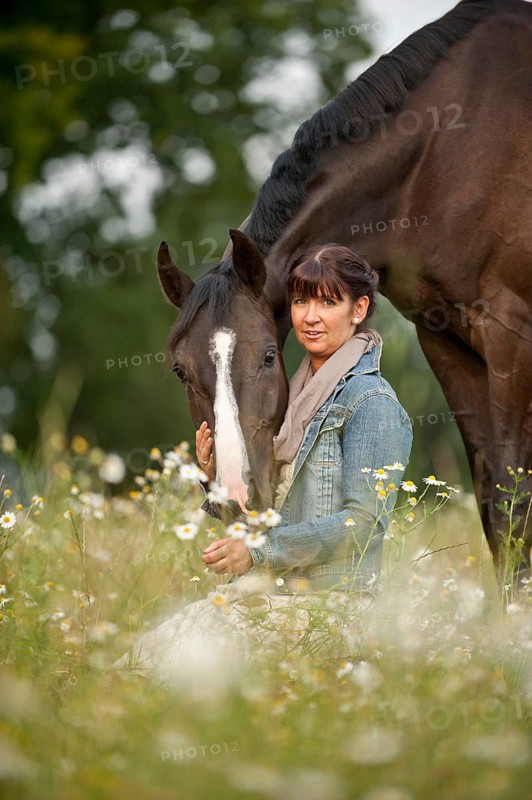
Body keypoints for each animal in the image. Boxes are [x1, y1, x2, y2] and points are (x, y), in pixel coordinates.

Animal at [157, 0, 532, 587]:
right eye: (179, 369)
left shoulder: (511, 336)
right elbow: (495, 505)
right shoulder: (448, 342)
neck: (446, 152)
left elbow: (516, 507)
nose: (236, 498)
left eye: (268, 357)